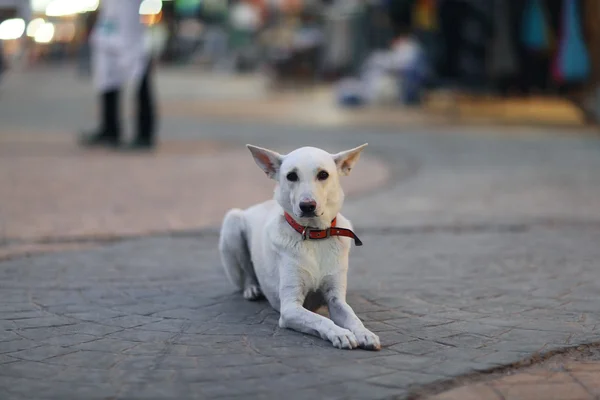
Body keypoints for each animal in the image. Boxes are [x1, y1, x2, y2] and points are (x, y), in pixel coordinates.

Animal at [219, 145, 380, 350]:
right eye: (291, 176)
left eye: (323, 174)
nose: (307, 206)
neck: (314, 236)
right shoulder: (290, 308)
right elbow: (322, 320)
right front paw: (341, 333)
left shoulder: (335, 299)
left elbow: (353, 317)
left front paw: (365, 333)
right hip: (232, 222)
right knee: (246, 273)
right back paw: (252, 289)